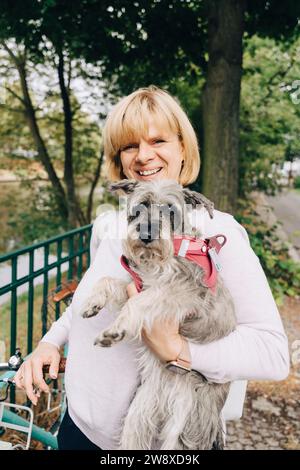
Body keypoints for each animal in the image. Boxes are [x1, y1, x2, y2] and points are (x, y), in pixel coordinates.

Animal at [80, 178, 237, 450]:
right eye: (140, 206)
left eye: (171, 211)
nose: (146, 233)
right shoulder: (137, 286)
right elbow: (107, 281)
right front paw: (93, 301)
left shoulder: (181, 292)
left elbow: (141, 303)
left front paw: (114, 330)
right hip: (139, 415)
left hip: (186, 428)